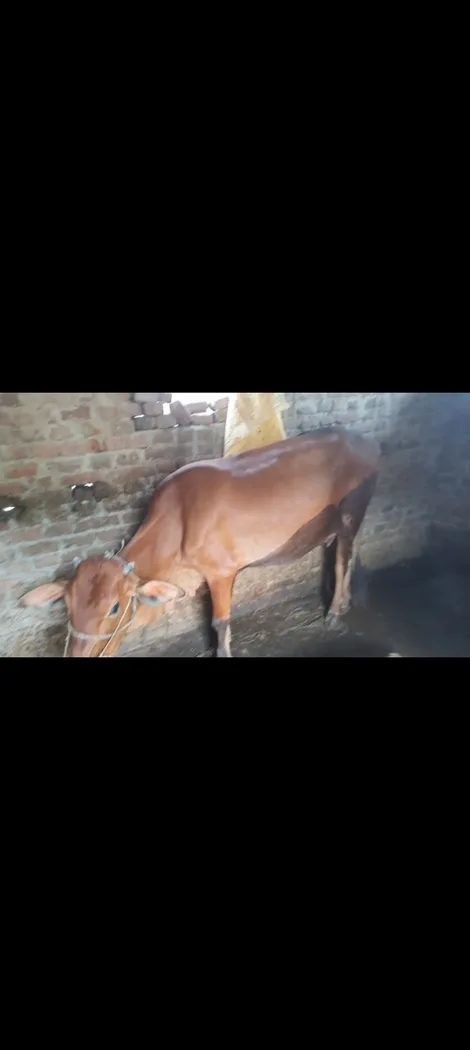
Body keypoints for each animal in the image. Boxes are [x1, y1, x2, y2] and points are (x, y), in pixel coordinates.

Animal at [20, 426, 380, 657]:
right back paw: (350, 599)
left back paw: (334, 613)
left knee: (342, 560)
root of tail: (363, 441)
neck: (177, 522)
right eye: (66, 605)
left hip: (350, 513)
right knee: (351, 551)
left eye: (114, 607)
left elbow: (220, 622)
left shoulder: (221, 572)